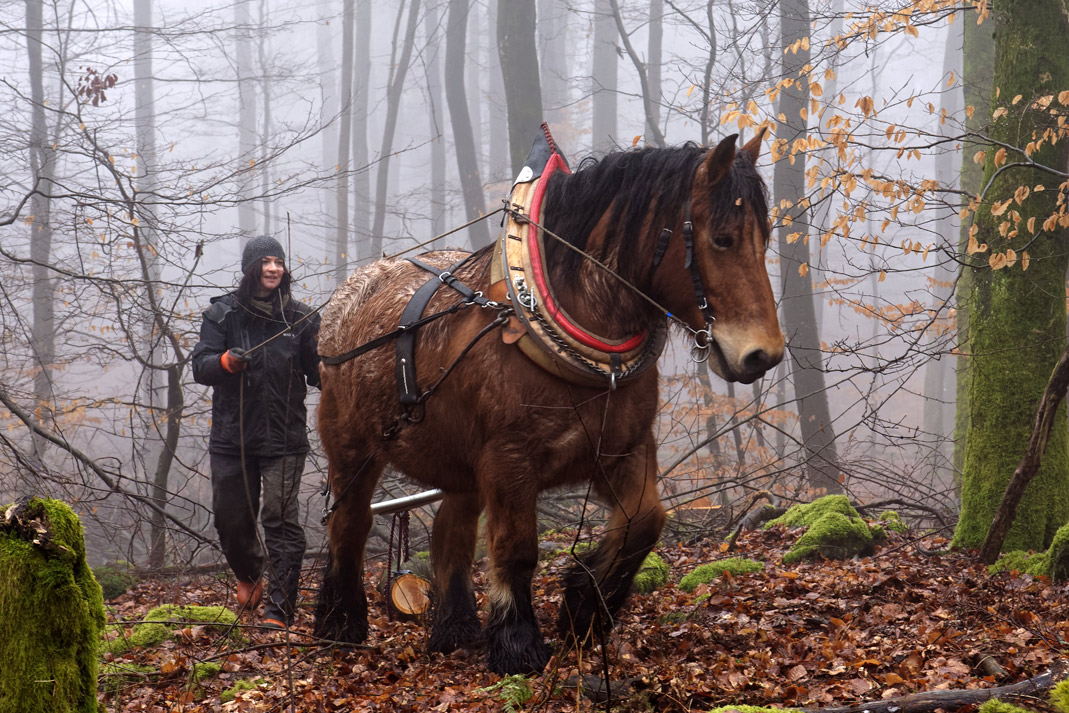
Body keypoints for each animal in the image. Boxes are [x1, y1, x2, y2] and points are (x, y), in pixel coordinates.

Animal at [312, 129, 782, 675]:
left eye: (764, 237)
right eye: (722, 239)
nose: (762, 355)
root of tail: (347, 298)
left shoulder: (624, 450)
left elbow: (646, 523)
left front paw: (584, 608)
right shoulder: (508, 462)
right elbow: (517, 549)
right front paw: (517, 642)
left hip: (458, 466)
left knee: (450, 532)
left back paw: (455, 630)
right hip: (353, 451)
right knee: (350, 524)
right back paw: (340, 626)